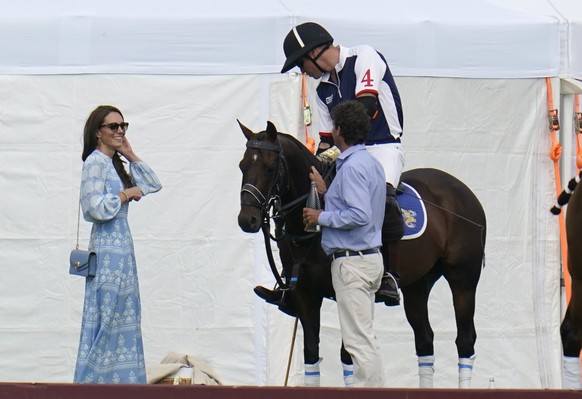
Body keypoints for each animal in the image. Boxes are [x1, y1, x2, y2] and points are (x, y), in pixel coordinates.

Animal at [237, 121, 488, 388]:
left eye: (270, 167)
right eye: (242, 165)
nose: (247, 220)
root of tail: (465, 191)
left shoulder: (346, 293)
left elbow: (348, 355)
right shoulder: (306, 295)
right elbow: (311, 354)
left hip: (463, 280)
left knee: (465, 340)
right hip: (418, 285)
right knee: (424, 340)